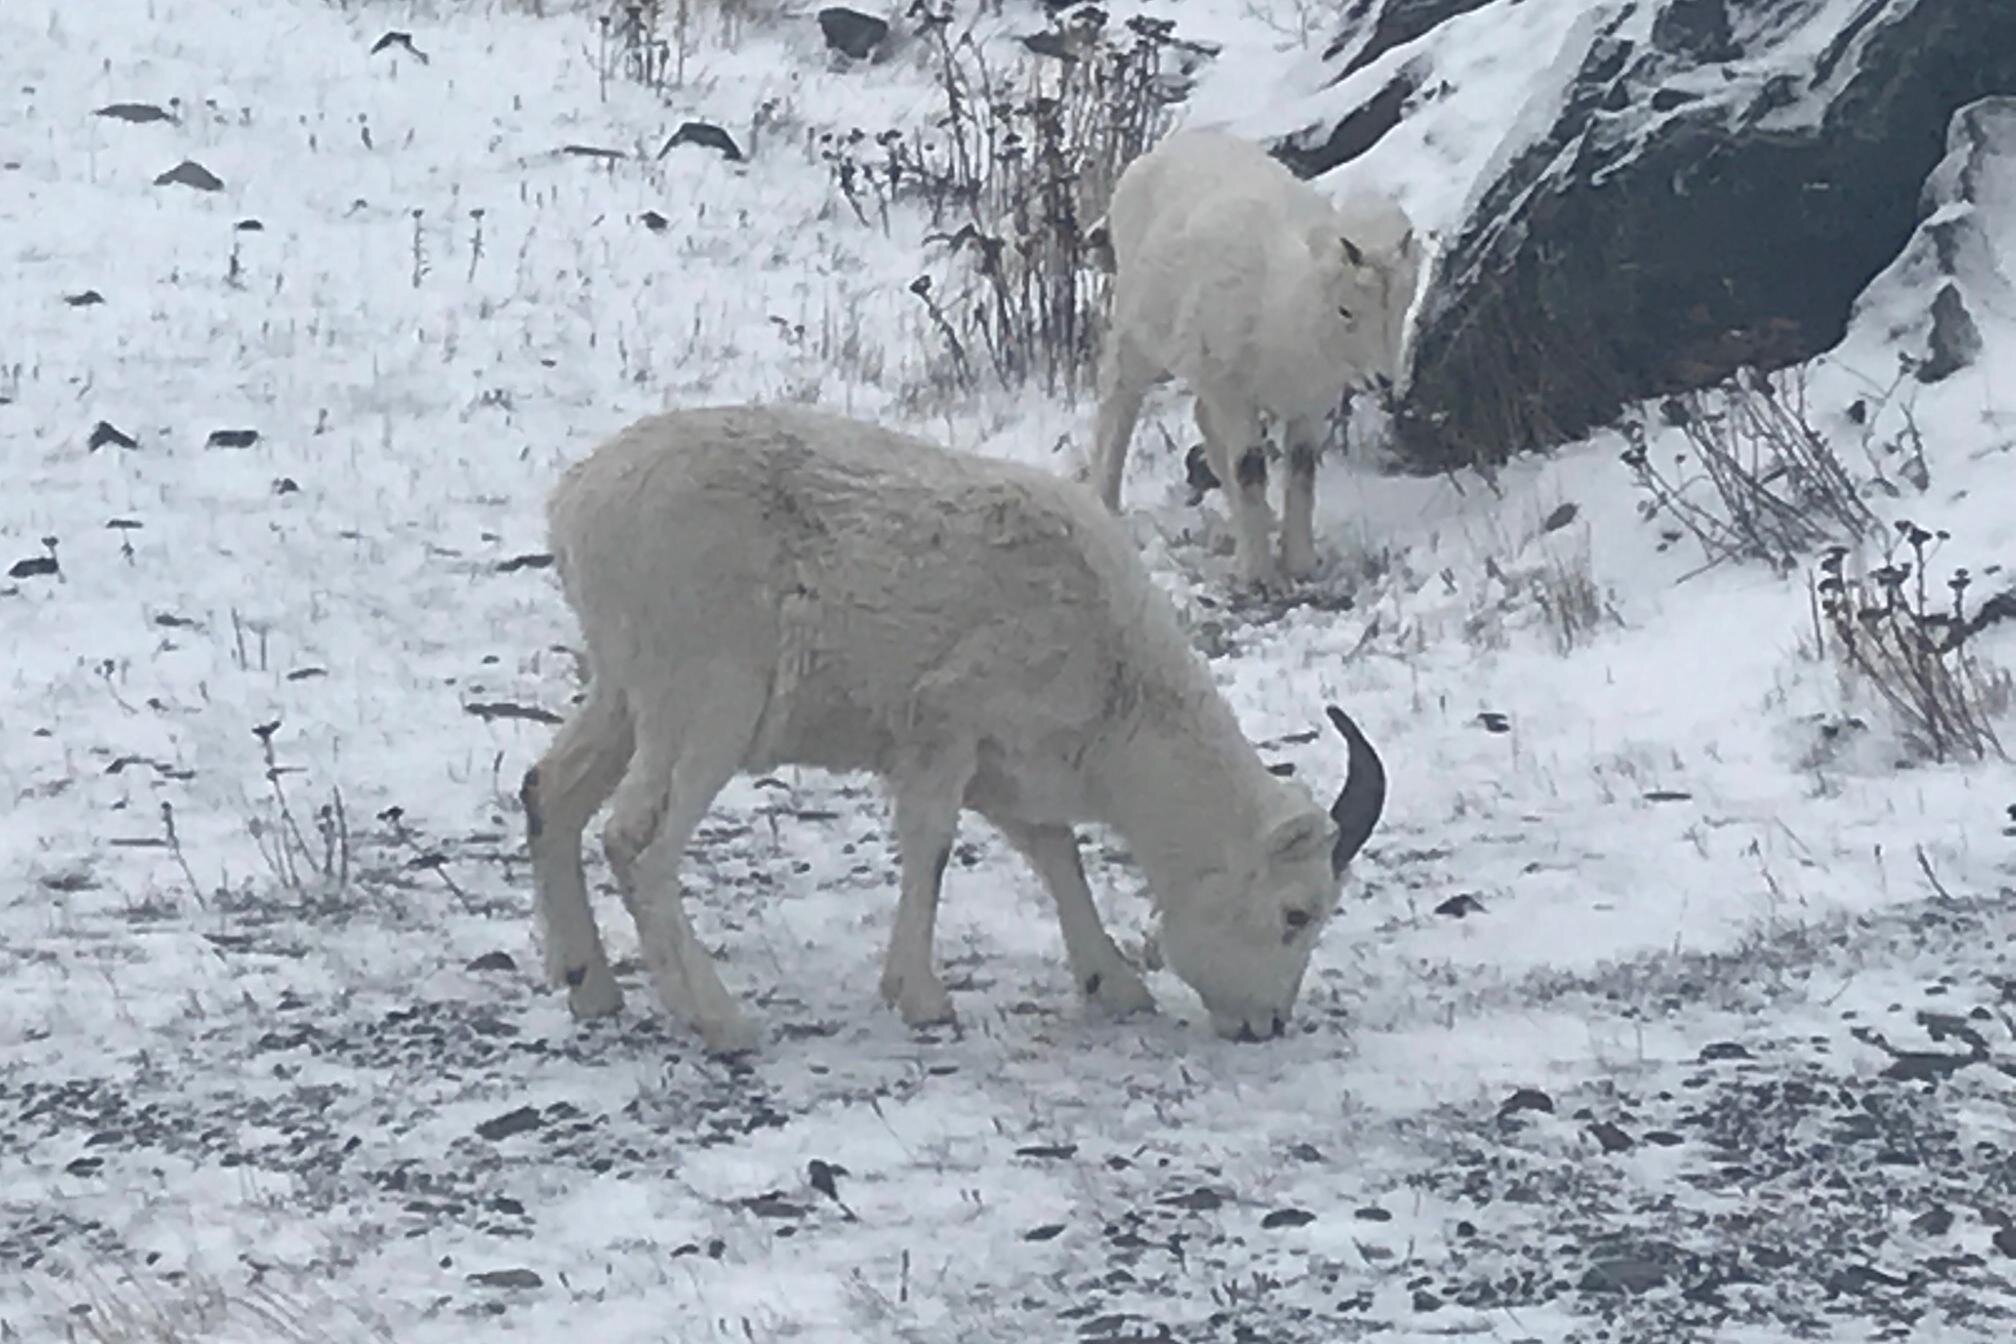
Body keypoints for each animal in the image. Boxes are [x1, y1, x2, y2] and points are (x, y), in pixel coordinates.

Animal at [521, 403, 1387, 1054]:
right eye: (1296, 914)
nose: (1267, 1025)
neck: (1116, 677)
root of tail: (574, 507)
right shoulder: (943, 737)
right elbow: (933, 851)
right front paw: (923, 1000)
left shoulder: (1007, 771)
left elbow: (1057, 856)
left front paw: (1114, 984)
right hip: (704, 708)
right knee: (636, 840)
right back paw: (720, 1021)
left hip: (623, 699)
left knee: (549, 794)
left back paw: (592, 989)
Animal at [1089, 129, 1423, 590]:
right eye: (1345, 310)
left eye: (1402, 306)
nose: (1383, 380)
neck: (1284, 315)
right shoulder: (1234, 396)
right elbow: (1249, 469)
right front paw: (1260, 575)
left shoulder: (1308, 404)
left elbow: (1301, 471)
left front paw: (1300, 563)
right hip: (1139, 337)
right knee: (1119, 398)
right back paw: (1105, 502)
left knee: (1202, 422)